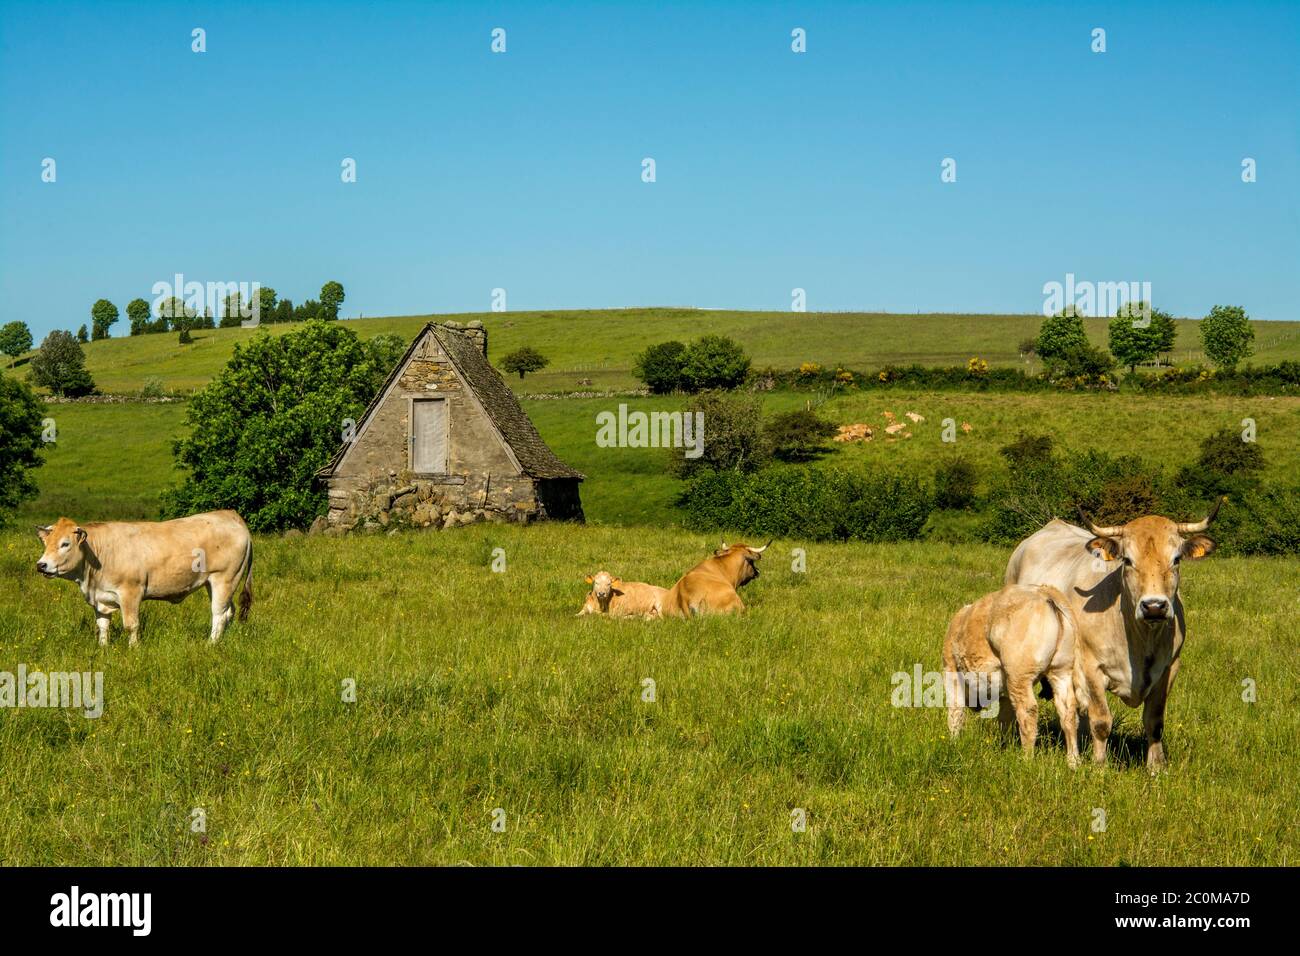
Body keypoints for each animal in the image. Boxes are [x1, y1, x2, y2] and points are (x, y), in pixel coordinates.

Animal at [35, 512, 253, 647]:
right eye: (45, 543)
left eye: (65, 544)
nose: (41, 565)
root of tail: (230, 515)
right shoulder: (100, 597)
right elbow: (103, 624)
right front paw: (103, 648)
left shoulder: (130, 592)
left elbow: (131, 625)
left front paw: (134, 649)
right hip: (215, 582)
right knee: (229, 612)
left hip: (223, 578)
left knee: (218, 614)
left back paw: (211, 644)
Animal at [941, 582, 1081, 770]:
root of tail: (1045, 593)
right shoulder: (1005, 688)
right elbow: (1004, 718)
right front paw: (1004, 746)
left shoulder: (950, 669)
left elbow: (955, 711)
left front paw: (953, 743)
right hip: (1061, 670)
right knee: (1068, 712)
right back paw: (1073, 762)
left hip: (1019, 674)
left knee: (1028, 711)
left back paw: (1026, 760)